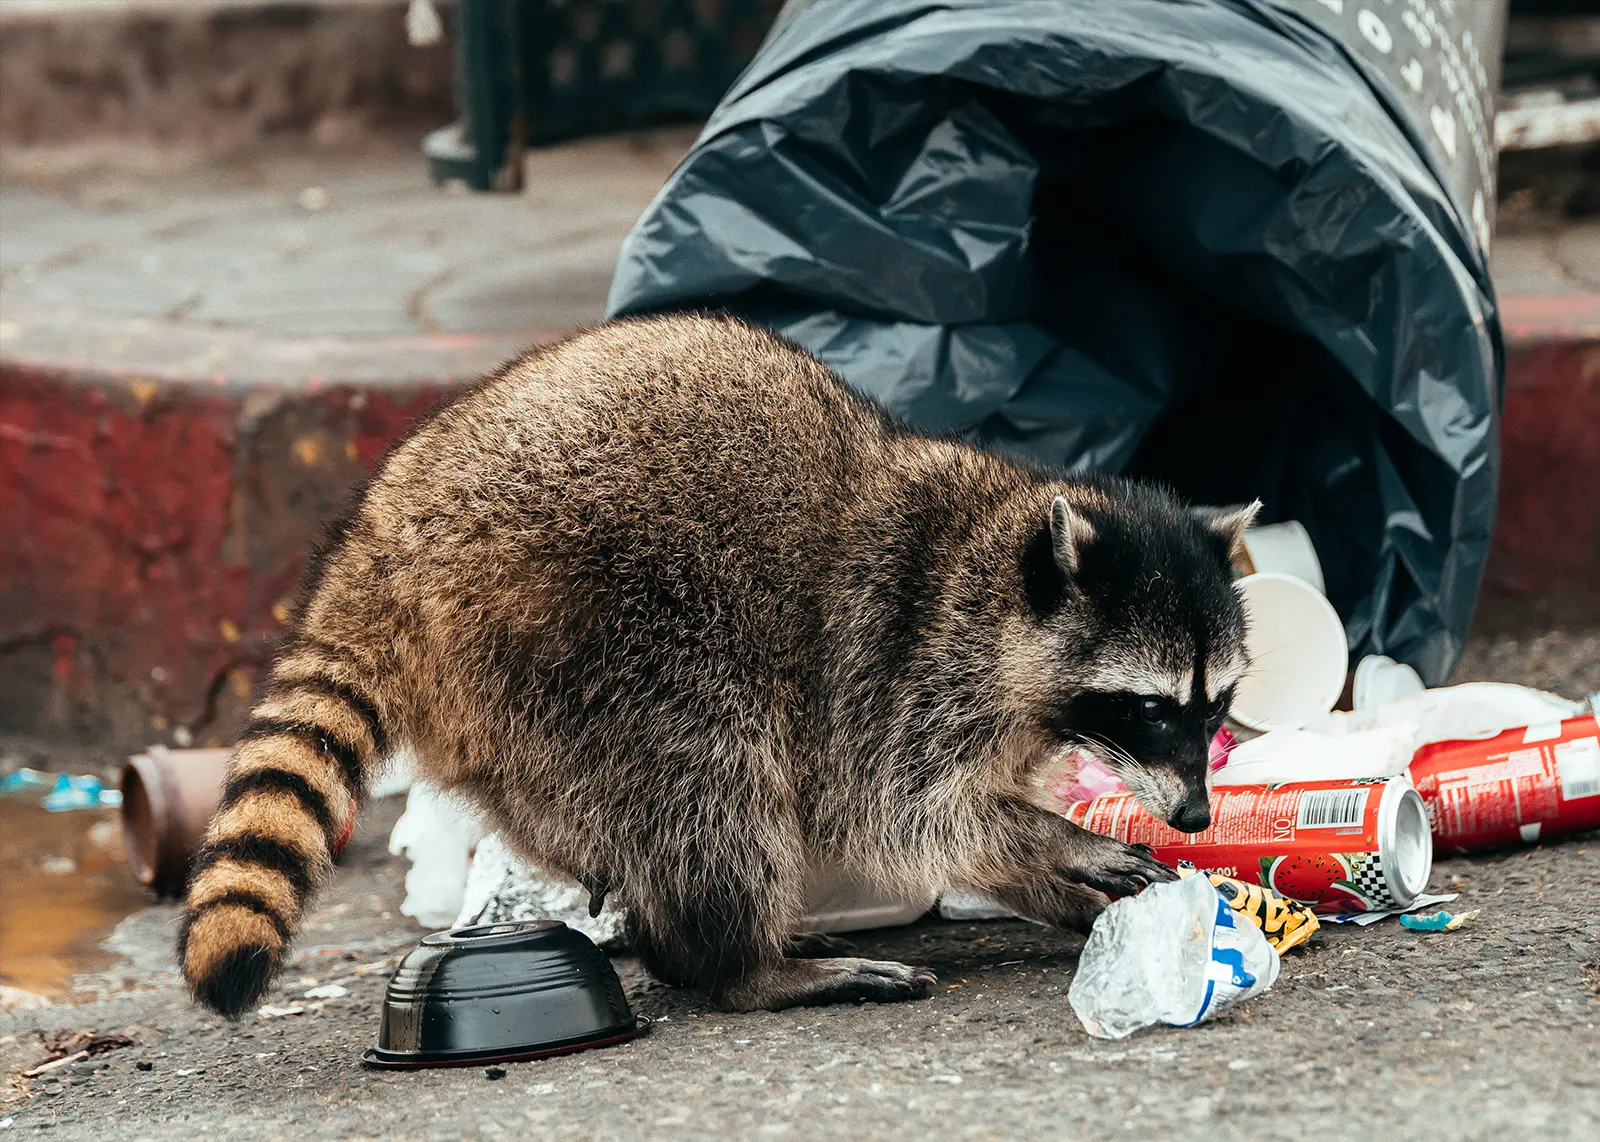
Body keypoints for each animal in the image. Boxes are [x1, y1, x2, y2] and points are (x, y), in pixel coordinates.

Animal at [181, 311, 1254, 1017]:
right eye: (1152, 709)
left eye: (1216, 708)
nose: (1199, 816)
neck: (996, 557)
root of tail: (386, 536)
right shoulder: (895, 662)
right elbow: (906, 810)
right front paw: (1053, 841)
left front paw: (1052, 880)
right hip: (591, 632)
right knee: (706, 780)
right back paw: (740, 963)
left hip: (513, 708)